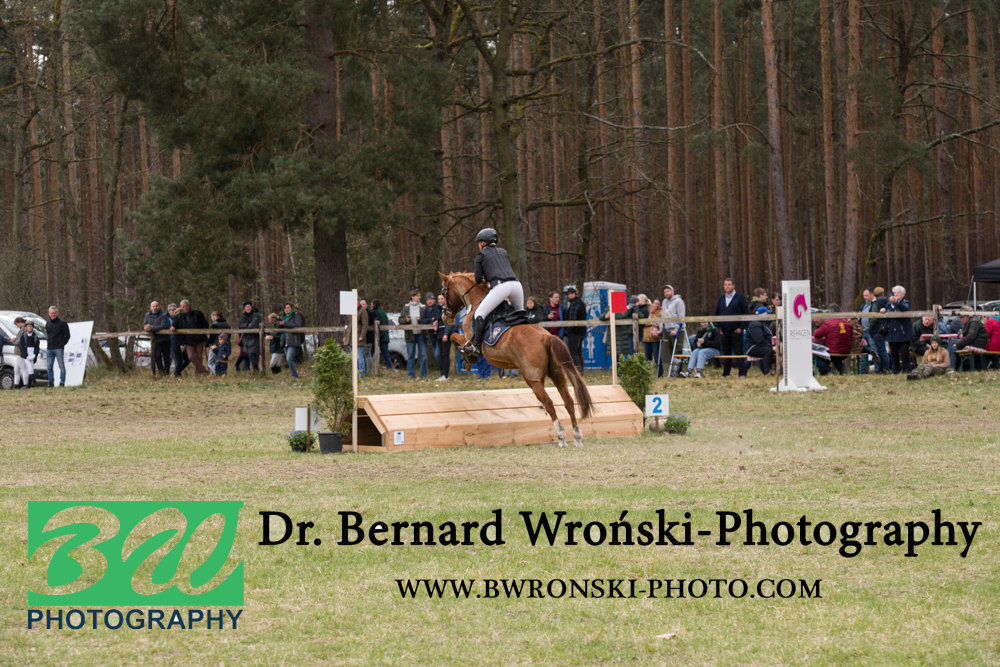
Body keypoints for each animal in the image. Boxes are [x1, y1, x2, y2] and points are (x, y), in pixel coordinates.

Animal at [438, 271, 593, 447]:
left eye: (443, 292)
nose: (445, 316)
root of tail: (546, 337)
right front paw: (467, 359)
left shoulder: (467, 338)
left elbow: (453, 337)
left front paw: (467, 358)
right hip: (557, 374)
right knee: (568, 402)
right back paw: (577, 437)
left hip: (532, 379)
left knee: (549, 403)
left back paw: (561, 437)